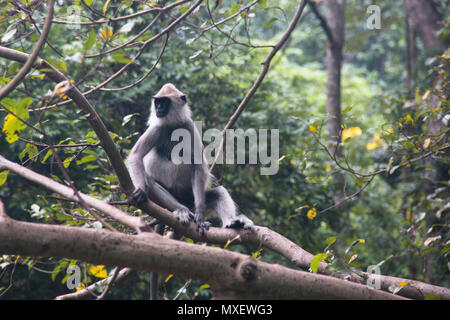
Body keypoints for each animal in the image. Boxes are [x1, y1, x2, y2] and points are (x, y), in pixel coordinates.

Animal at [126, 84, 253, 234]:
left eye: (164, 102)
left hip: (191, 199)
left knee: (219, 192)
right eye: (157, 102)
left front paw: (200, 215)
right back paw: (181, 210)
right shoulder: (157, 129)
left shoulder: (189, 126)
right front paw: (140, 189)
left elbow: (198, 166)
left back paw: (231, 222)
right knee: (151, 181)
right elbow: (136, 156)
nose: (158, 108)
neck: (173, 126)